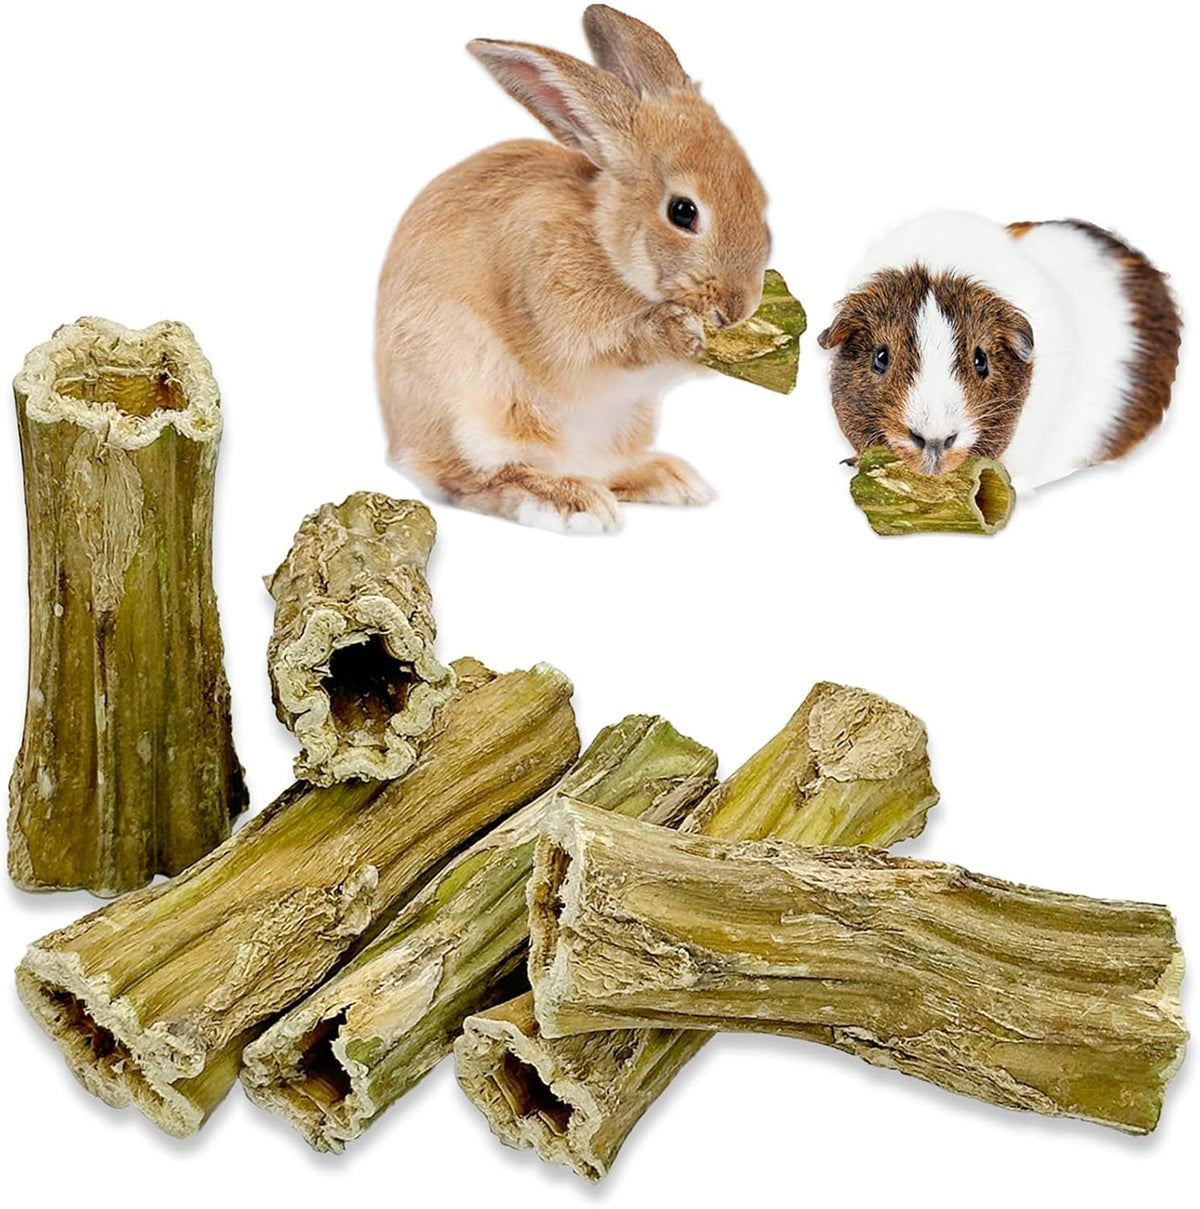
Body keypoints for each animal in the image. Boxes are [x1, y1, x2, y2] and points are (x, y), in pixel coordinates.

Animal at [375, 5, 770, 532]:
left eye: (758, 196)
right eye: (683, 212)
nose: (738, 306)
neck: (608, 244)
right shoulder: (555, 309)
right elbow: (608, 345)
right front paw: (678, 332)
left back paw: (667, 479)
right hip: (474, 406)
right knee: (469, 480)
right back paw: (570, 501)